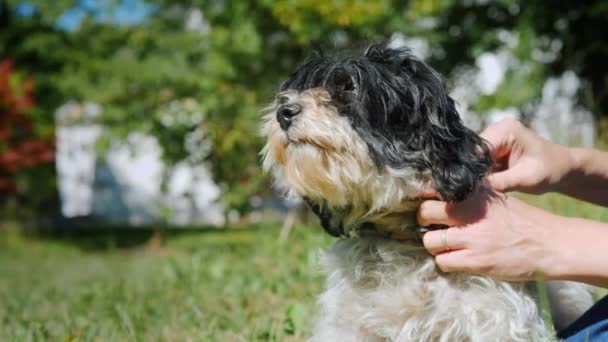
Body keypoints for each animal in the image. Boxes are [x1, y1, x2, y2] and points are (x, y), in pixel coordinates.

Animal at [262, 44, 592, 340]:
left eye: (349, 89)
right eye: (298, 89)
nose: (283, 112)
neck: (406, 243)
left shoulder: (497, 322)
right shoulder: (347, 327)